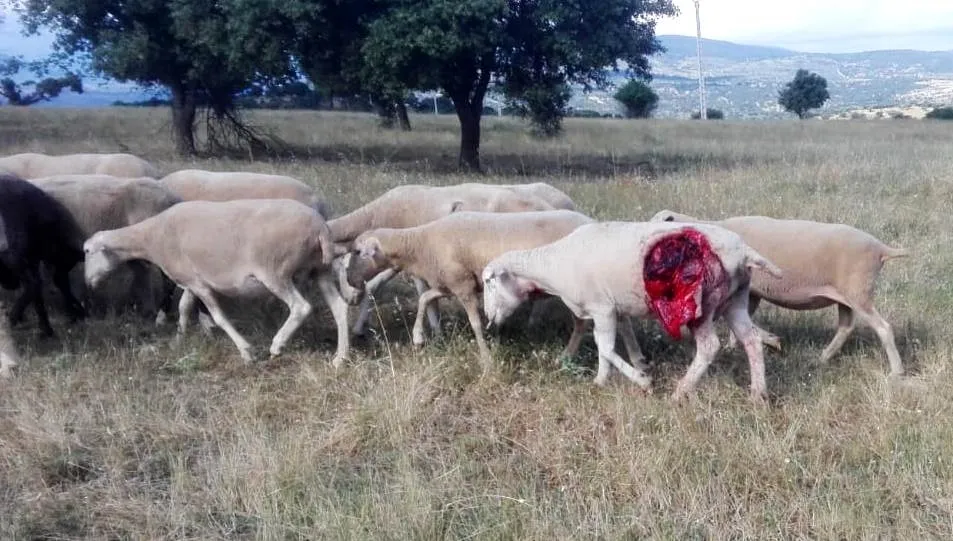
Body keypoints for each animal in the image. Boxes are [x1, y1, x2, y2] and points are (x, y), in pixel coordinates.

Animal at [83, 199, 350, 365]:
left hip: (275, 271)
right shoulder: (191, 279)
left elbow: (219, 318)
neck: (151, 238)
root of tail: (320, 228)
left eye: (86, 251)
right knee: (339, 307)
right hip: (320, 269)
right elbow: (184, 308)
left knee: (301, 307)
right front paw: (180, 338)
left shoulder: (200, 284)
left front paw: (246, 351)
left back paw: (277, 345)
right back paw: (341, 357)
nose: (87, 282)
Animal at [328, 182, 559, 338]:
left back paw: (532, 324)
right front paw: (359, 327)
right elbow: (375, 286)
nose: (350, 299)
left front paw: (435, 331)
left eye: (342, 266)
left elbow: (424, 293)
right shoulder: (397, 261)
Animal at [344, 209, 595, 372]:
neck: (420, 246)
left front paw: (486, 360)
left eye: (357, 252)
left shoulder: (463, 286)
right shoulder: (451, 284)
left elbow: (475, 324)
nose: (349, 280)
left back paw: (566, 357)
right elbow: (424, 298)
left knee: (581, 323)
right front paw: (418, 337)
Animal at [481, 221, 784, 404]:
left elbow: (605, 347)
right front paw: (612, 376)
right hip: (736, 299)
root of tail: (742, 251)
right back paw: (758, 395)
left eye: (489, 283)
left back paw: (681, 391)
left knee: (710, 346)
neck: (551, 266)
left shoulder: (602, 308)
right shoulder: (615, 307)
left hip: (703, 304)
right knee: (751, 341)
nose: (488, 319)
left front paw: (640, 381)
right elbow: (616, 338)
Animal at [650, 210, 909, 376]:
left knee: (883, 328)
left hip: (858, 291)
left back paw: (897, 371)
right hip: (847, 295)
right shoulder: (752, 292)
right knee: (846, 326)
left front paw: (771, 341)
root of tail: (881, 248)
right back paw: (823, 357)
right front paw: (737, 346)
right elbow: (740, 323)